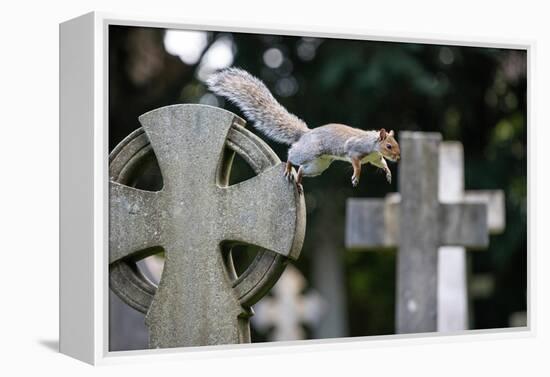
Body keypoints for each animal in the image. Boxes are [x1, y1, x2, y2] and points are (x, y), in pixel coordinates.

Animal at [207, 66, 402, 192]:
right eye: (389, 146)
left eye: (396, 144)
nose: (398, 158)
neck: (373, 145)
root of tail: (306, 133)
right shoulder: (355, 149)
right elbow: (356, 164)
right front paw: (356, 176)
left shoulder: (375, 158)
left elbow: (381, 163)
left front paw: (388, 172)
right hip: (309, 152)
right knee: (292, 156)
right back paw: (288, 168)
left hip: (318, 165)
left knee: (302, 169)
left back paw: (299, 179)